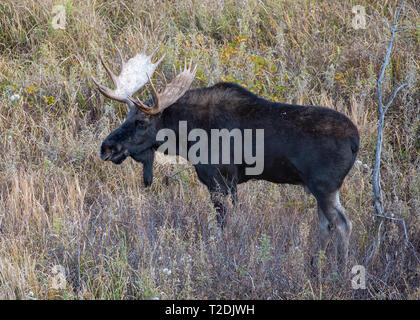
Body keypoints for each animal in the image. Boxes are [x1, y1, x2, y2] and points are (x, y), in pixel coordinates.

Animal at [93, 48, 360, 266]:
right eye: (127, 117)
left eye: (141, 121)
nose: (106, 148)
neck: (188, 136)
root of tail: (355, 141)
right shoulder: (230, 182)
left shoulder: (219, 179)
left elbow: (223, 225)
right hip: (318, 188)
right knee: (326, 225)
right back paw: (316, 266)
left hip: (324, 185)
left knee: (343, 224)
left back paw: (341, 270)